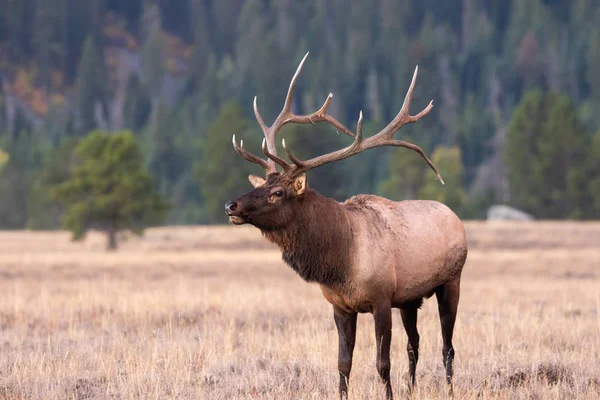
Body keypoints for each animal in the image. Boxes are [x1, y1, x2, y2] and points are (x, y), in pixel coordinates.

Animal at [225, 54, 468, 400]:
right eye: (261, 186)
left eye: (278, 192)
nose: (231, 206)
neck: (340, 262)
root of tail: (454, 217)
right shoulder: (341, 306)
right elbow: (343, 364)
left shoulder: (381, 299)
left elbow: (382, 363)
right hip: (410, 298)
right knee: (415, 344)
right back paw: (412, 389)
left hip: (451, 281)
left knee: (448, 346)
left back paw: (448, 389)